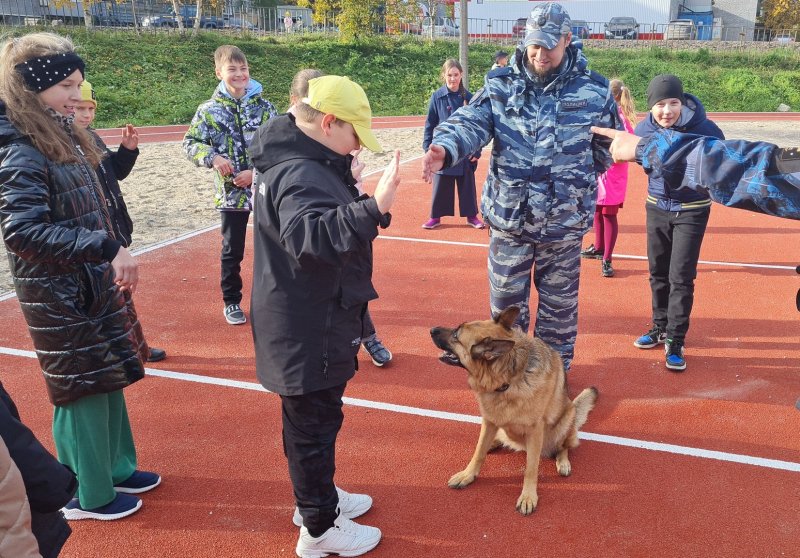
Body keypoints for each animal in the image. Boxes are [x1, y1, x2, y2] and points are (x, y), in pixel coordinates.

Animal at [432, 306, 592, 516]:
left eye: (456, 334)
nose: (431, 329)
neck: (507, 380)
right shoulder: (489, 421)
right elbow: (478, 452)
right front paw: (468, 475)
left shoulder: (535, 431)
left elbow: (531, 469)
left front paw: (528, 496)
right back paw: (495, 442)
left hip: (566, 420)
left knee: (563, 447)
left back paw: (563, 461)